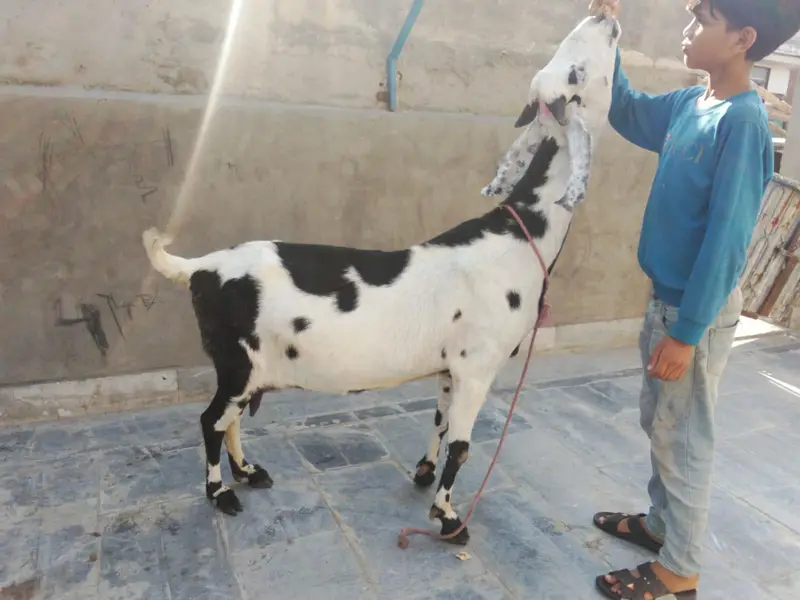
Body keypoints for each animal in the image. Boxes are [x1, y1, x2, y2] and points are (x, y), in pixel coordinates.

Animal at [140, 13, 621, 545]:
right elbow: (462, 446)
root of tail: (199, 267)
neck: (520, 235)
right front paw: (448, 518)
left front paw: (424, 474)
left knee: (231, 419)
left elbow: (439, 424)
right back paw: (221, 493)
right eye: (577, 71)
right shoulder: (477, 367)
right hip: (237, 360)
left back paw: (248, 473)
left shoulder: (450, 367)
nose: (605, 15)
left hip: (246, 368)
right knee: (211, 420)